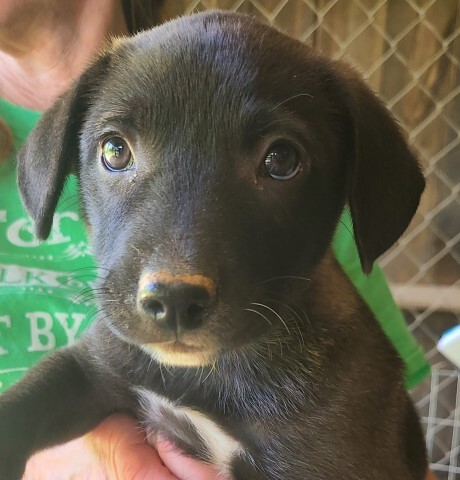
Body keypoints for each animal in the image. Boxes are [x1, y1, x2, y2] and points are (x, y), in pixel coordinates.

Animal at [0, 11, 426, 480]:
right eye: (114, 150)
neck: (212, 372)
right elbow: (24, 404)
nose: (174, 300)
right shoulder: (91, 368)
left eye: (281, 160)